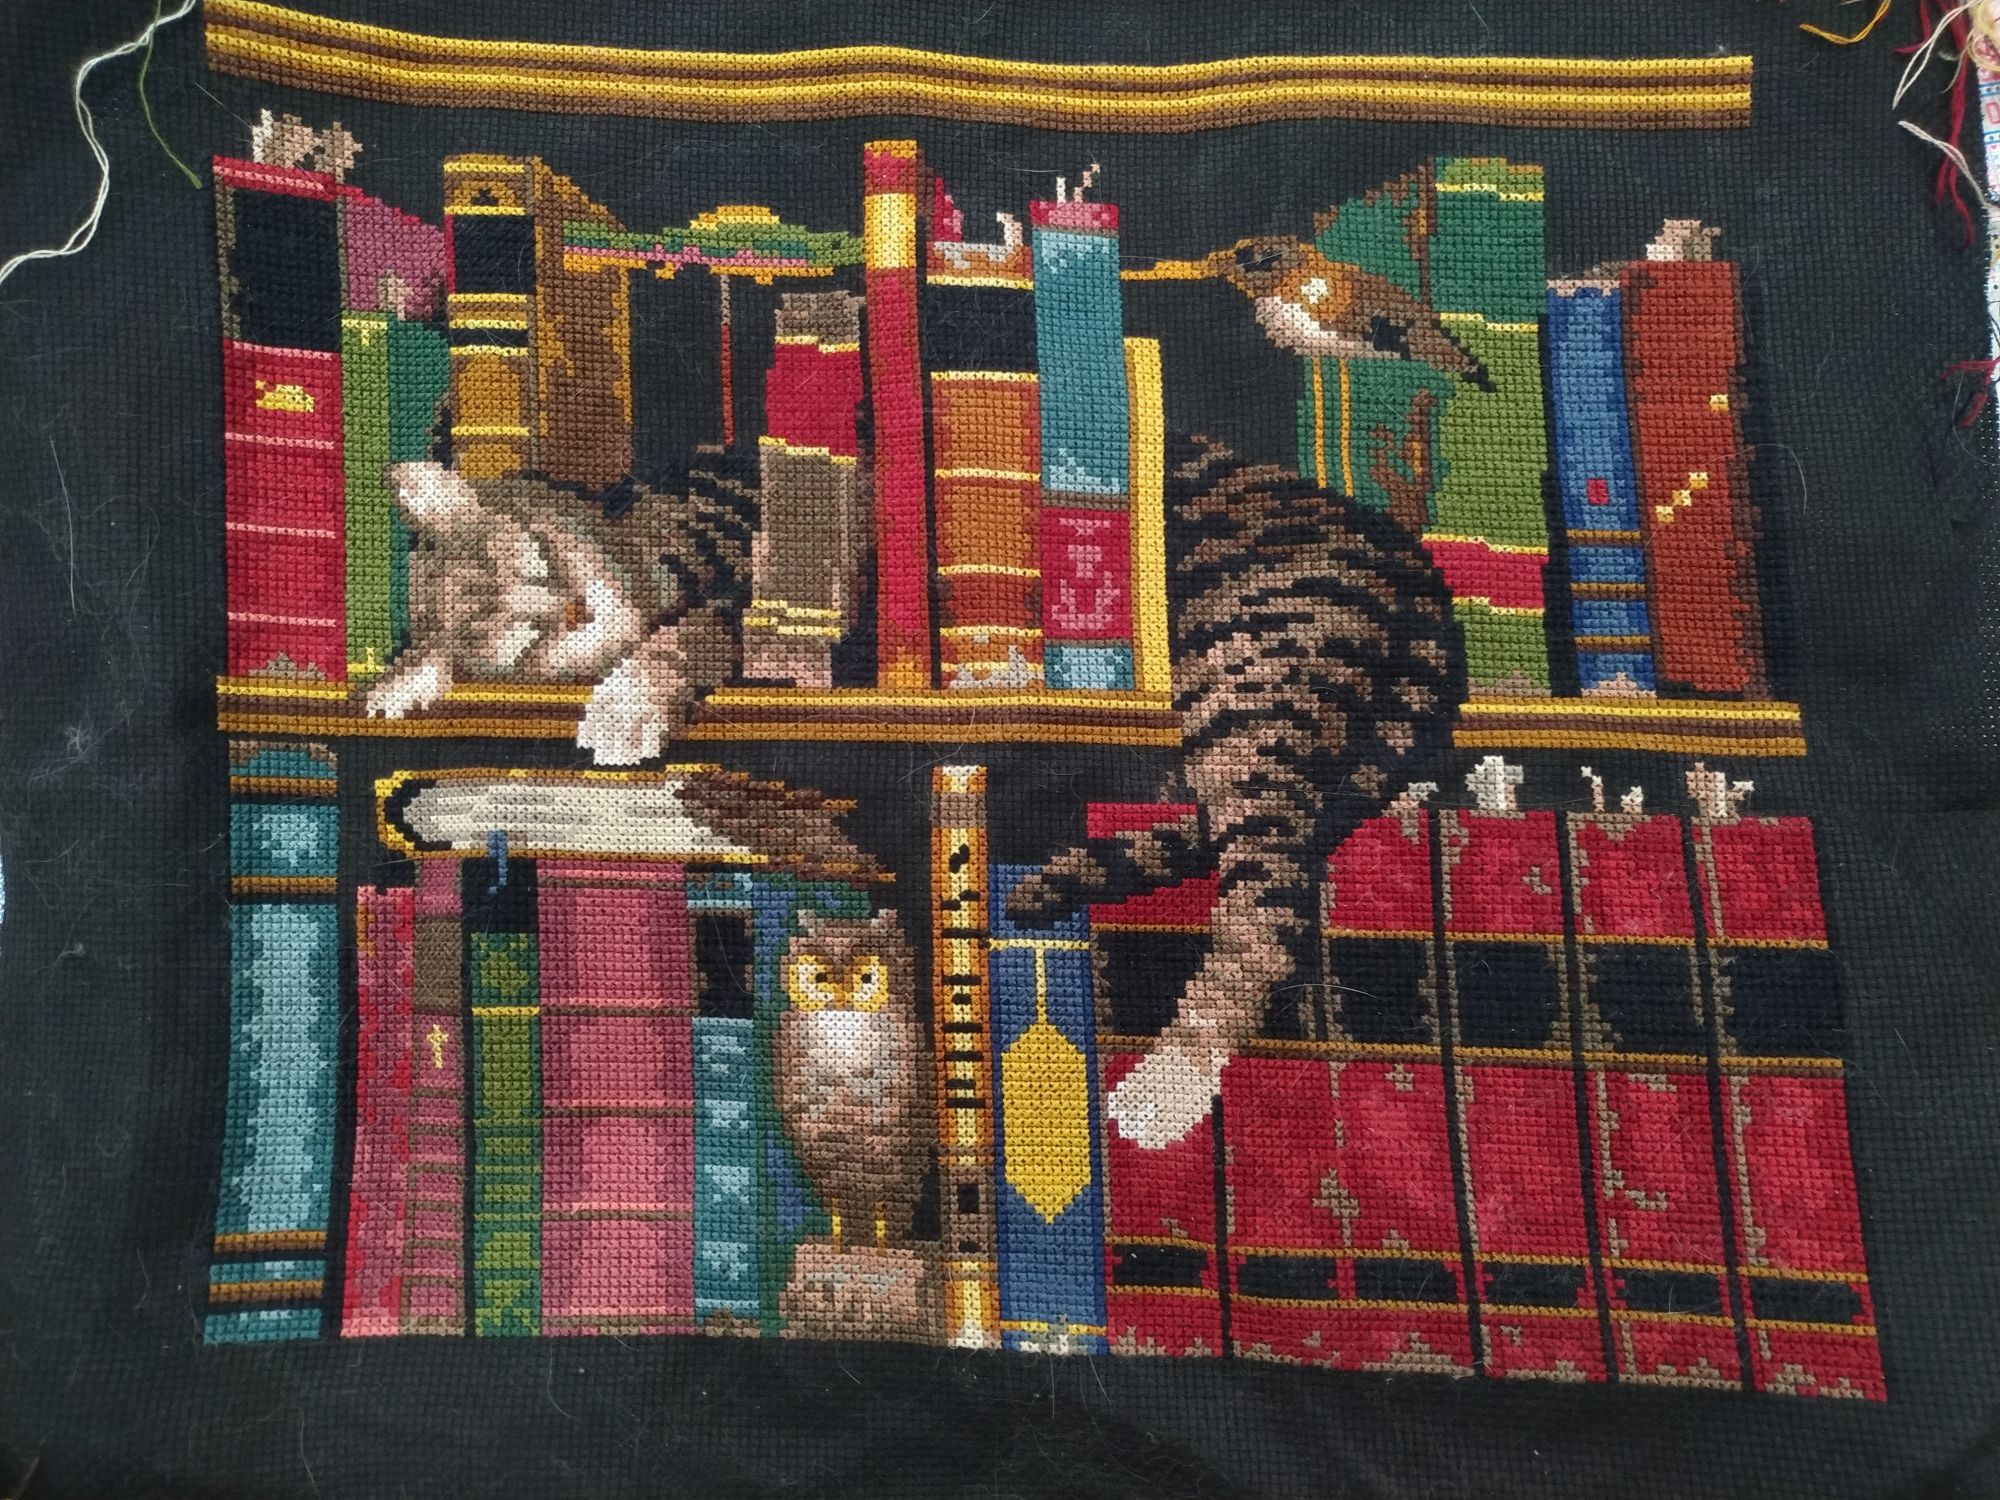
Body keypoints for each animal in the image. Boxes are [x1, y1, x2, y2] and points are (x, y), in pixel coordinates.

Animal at [364, 458, 756, 765]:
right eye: (491, 618)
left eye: (535, 565)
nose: (574, 610)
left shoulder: (732, 598)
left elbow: (684, 637)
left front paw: (622, 711)